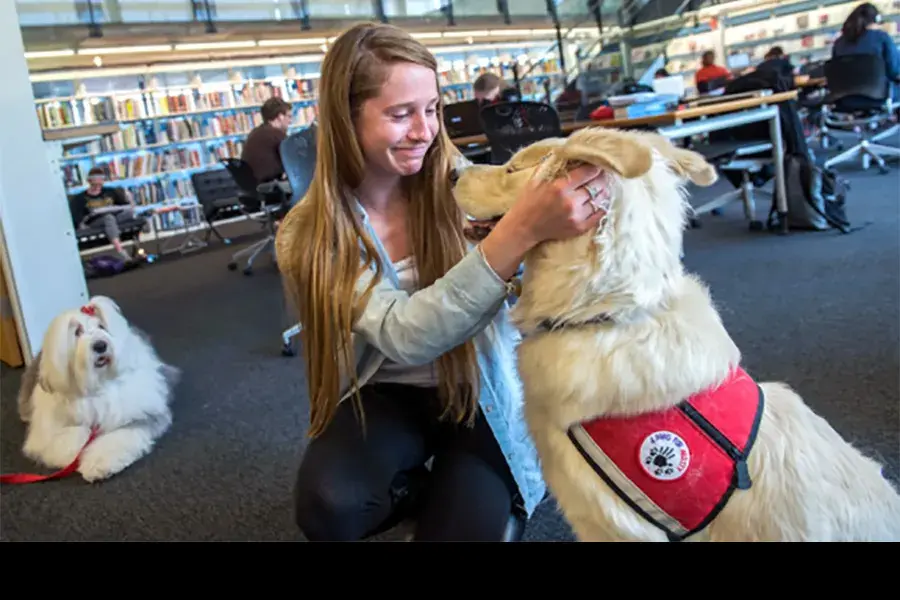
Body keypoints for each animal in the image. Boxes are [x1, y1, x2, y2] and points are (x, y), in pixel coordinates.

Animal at [17, 296, 178, 482]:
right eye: (77, 332)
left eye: (102, 327)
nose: (100, 345)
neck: (98, 384)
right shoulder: (46, 430)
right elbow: (71, 436)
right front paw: (73, 455)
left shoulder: (141, 415)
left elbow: (118, 437)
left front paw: (97, 464)